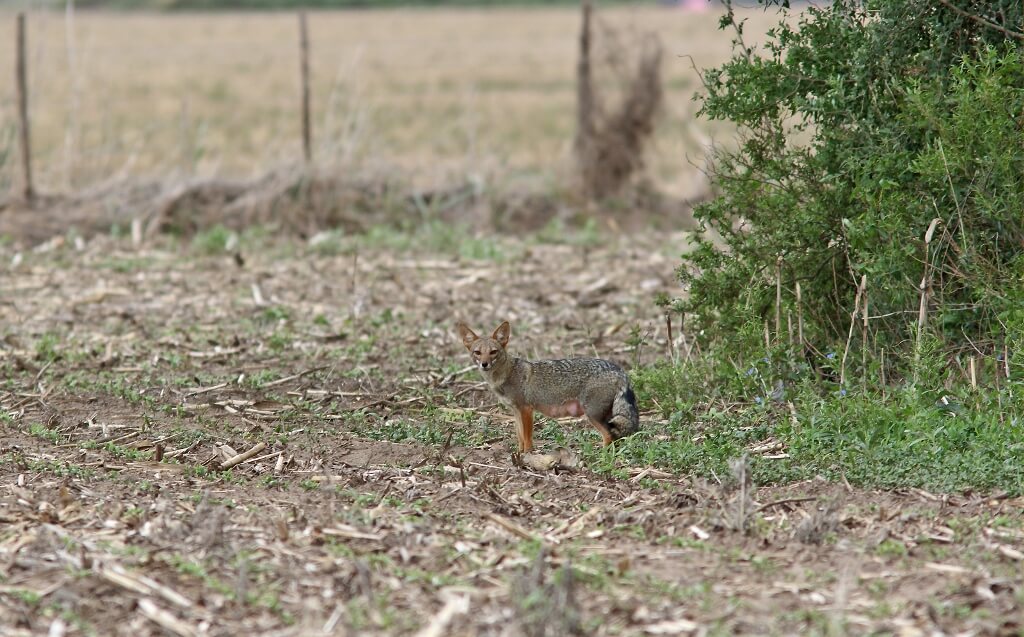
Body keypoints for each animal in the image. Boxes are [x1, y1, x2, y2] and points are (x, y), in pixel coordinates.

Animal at [458, 321, 638, 452]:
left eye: (493, 352)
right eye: (477, 352)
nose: (484, 364)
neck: (506, 374)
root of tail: (618, 369)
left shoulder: (526, 409)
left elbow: (527, 438)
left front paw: (527, 455)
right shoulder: (515, 411)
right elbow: (519, 436)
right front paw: (518, 453)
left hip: (593, 415)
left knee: (608, 435)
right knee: (616, 436)